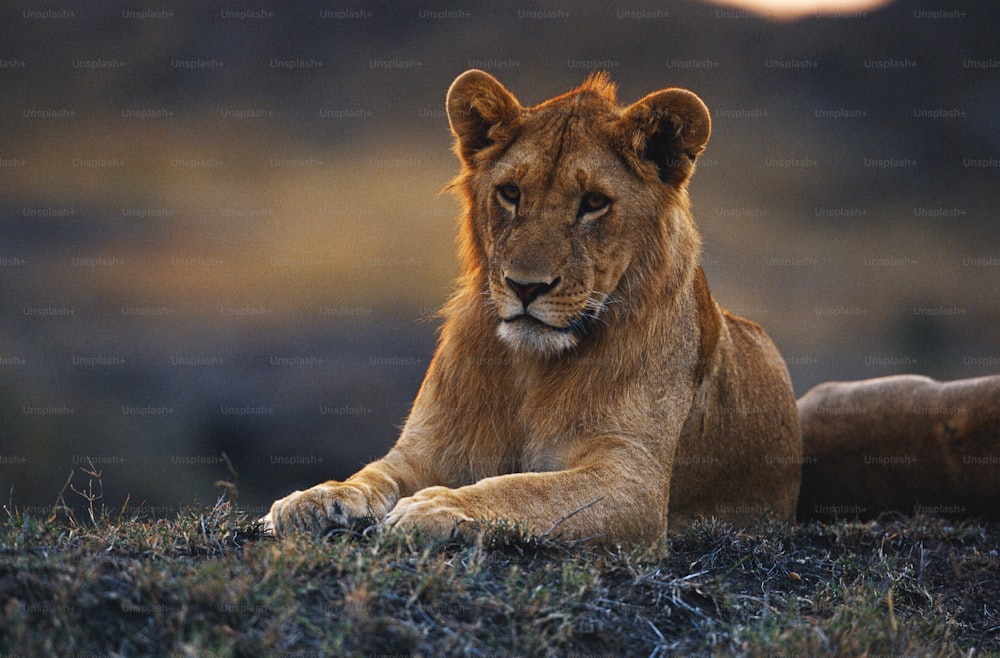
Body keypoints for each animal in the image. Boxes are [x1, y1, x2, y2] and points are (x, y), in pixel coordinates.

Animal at [264, 69, 804, 544]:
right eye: (510, 193)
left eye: (594, 202)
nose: (525, 287)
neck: (530, 367)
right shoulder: (423, 451)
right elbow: (372, 474)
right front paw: (316, 498)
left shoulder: (634, 483)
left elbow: (527, 490)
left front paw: (439, 507)